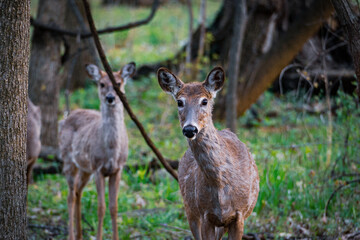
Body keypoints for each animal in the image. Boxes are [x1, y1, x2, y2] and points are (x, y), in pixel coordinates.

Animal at [59, 62, 136, 240]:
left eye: (118, 83)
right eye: (101, 84)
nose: (110, 98)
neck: (112, 150)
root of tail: (66, 117)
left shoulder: (118, 169)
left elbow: (114, 207)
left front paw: (116, 237)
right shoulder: (98, 168)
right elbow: (101, 207)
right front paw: (99, 236)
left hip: (85, 169)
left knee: (78, 192)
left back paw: (80, 234)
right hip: (68, 160)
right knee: (70, 196)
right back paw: (71, 235)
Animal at [158, 66, 258, 239]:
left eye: (204, 101)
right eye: (179, 102)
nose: (190, 129)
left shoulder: (239, 215)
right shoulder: (205, 214)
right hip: (190, 208)